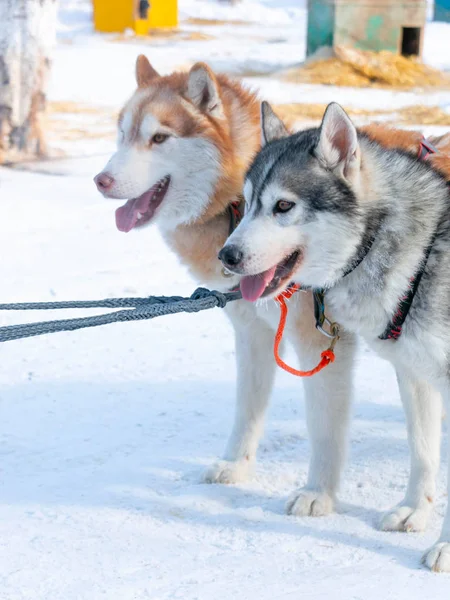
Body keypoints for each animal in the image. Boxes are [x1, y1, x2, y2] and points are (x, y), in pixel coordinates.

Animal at [94, 56, 450, 524]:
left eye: (158, 138)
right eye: (123, 134)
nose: (101, 180)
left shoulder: (322, 348)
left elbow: (325, 429)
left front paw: (320, 494)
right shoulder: (253, 333)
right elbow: (248, 407)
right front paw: (236, 464)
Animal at [220, 102, 450, 572]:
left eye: (283, 205)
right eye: (247, 204)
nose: (226, 255)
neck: (422, 253)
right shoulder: (416, 376)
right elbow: (422, 450)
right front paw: (415, 511)